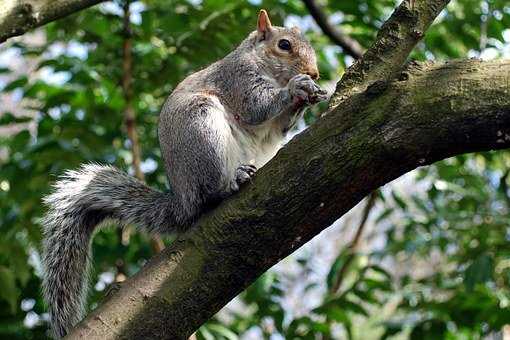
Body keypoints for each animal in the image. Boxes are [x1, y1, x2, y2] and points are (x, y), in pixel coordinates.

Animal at [40, 9, 326, 338]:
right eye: (284, 45)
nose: (315, 73)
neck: (262, 63)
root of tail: (183, 199)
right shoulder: (238, 79)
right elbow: (257, 107)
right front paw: (297, 88)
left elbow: (279, 126)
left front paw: (310, 96)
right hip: (201, 126)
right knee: (209, 193)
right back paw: (231, 183)